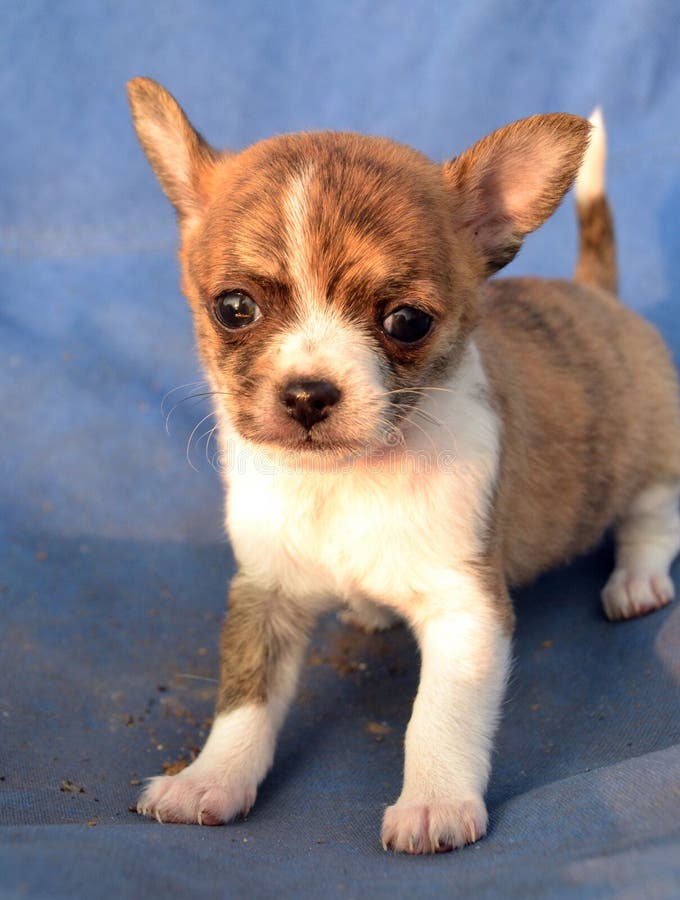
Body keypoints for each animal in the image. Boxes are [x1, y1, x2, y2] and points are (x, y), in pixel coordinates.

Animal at [129, 81, 680, 856]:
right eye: (234, 308)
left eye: (407, 322)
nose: (307, 393)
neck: (348, 480)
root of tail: (597, 294)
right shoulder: (267, 594)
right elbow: (245, 699)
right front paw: (212, 778)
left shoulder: (466, 611)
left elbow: (438, 718)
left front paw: (434, 802)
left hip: (653, 457)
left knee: (653, 522)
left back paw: (636, 581)